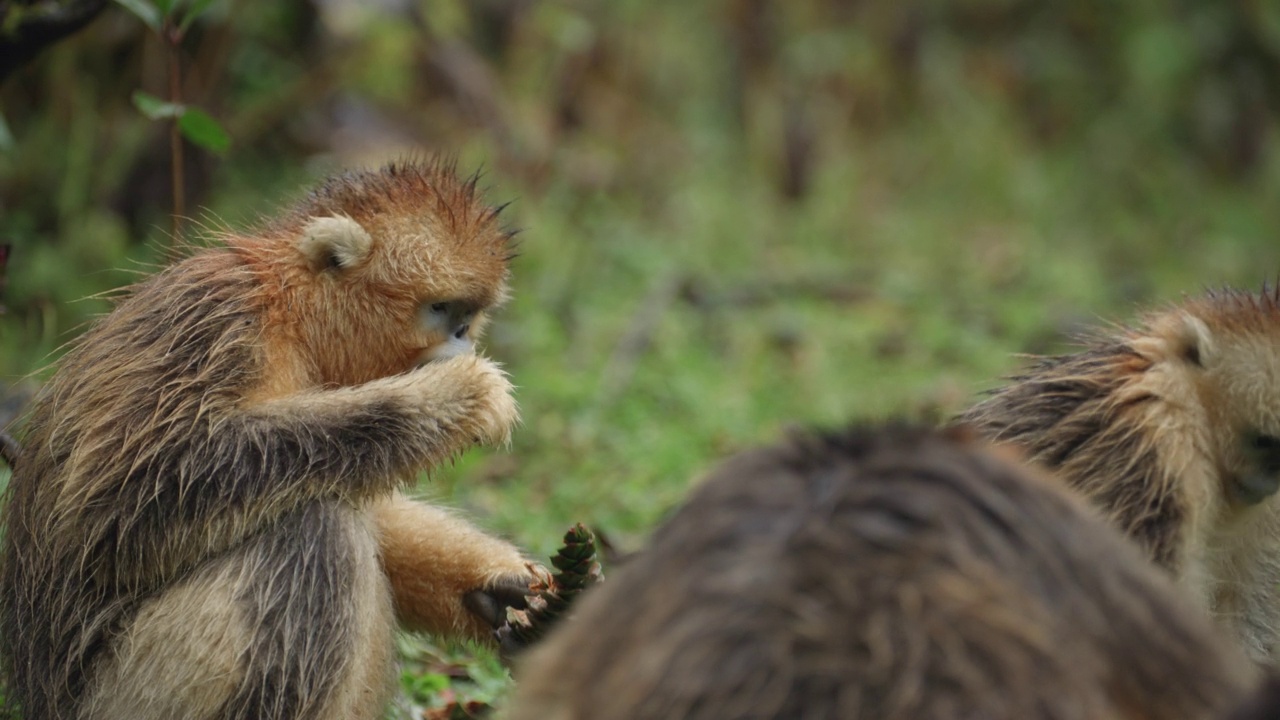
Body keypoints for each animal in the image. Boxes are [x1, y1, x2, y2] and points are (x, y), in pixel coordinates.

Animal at [0, 159, 537, 712]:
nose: (462, 340)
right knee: (314, 530)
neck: (290, 315)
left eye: (468, 317)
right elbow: (124, 502)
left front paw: (498, 583)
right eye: (441, 309)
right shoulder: (218, 325)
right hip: (122, 697)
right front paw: (456, 396)